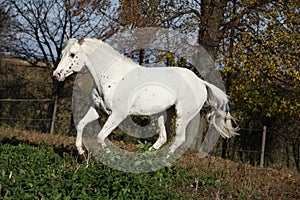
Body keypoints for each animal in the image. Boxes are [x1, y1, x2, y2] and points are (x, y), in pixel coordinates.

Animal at [53, 38, 237, 155]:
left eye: (72, 54)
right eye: (62, 53)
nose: (57, 74)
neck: (112, 75)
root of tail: (200, 82)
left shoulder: (118, 114)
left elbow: (100, 137)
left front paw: (108, 155)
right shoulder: (98, 110)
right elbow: (81, 125)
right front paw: (81, 152)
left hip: (182, 115)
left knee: (178, 140)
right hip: (163, 114)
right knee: (163, 137)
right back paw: (148, 157)